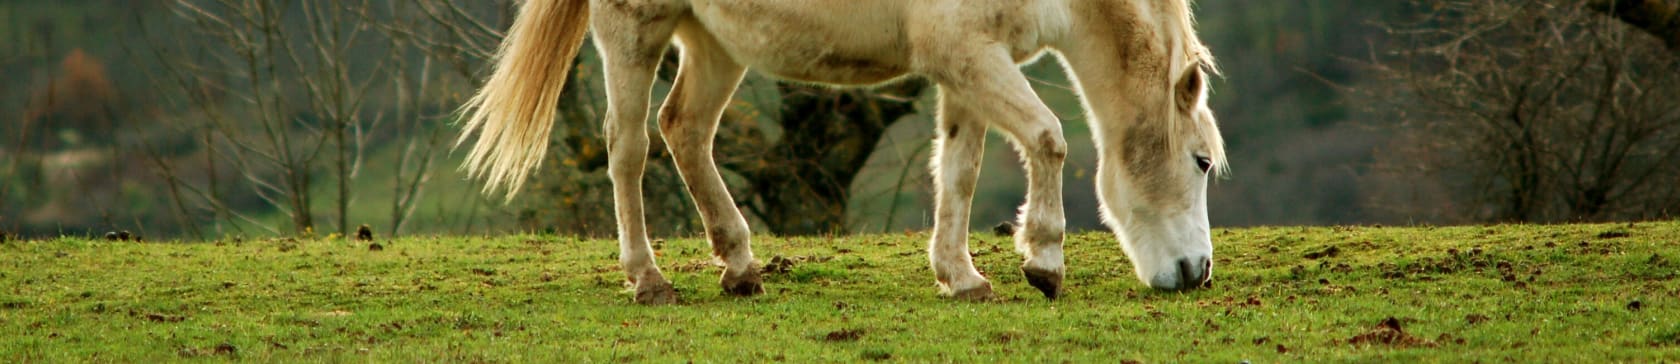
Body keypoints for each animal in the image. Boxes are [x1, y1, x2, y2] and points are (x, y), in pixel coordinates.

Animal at [453, 0, 1229, 303]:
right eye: (1199, 162)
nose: (1197, 272)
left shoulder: (967, 65)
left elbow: (959, 170)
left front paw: (961, 277)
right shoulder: (971, 58)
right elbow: (1048, 138)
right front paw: (1043, 260)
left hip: (714, 42)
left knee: (686, 131)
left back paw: (741, 266)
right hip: (632, 30)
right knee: (628, 148)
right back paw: (648, 280)